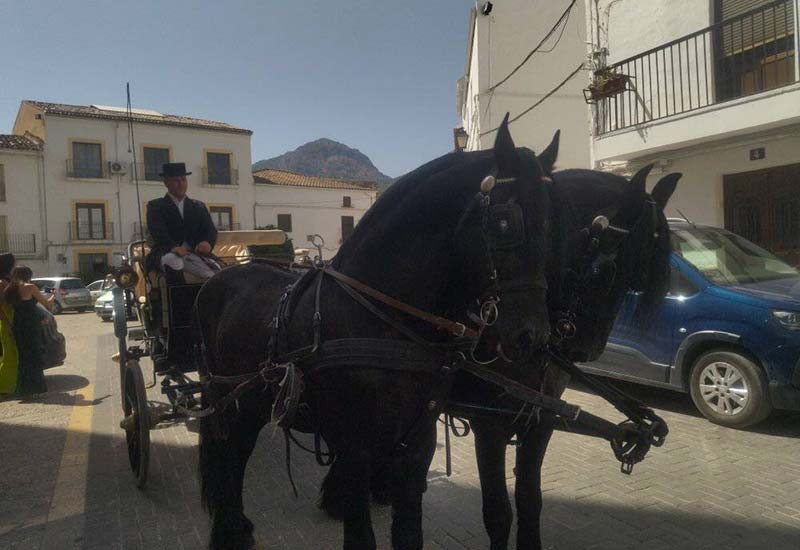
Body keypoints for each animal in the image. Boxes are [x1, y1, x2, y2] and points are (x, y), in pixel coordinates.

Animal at [196, 117, 552, 550]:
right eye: (505, 222)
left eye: (550, 222)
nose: (532, 337)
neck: (380, 320)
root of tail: (218, 278)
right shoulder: (353, 449)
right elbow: (361, 535)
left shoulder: (417, 444)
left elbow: (409, 533)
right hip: (230, 402)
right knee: (228, 457)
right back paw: (228, 530)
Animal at [456, 146, 680, 550]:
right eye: (606, 271)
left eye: (636, 277)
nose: (585, 349)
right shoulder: (488, 425)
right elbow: (498, 513)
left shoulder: (541, 421)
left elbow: (530, 500)